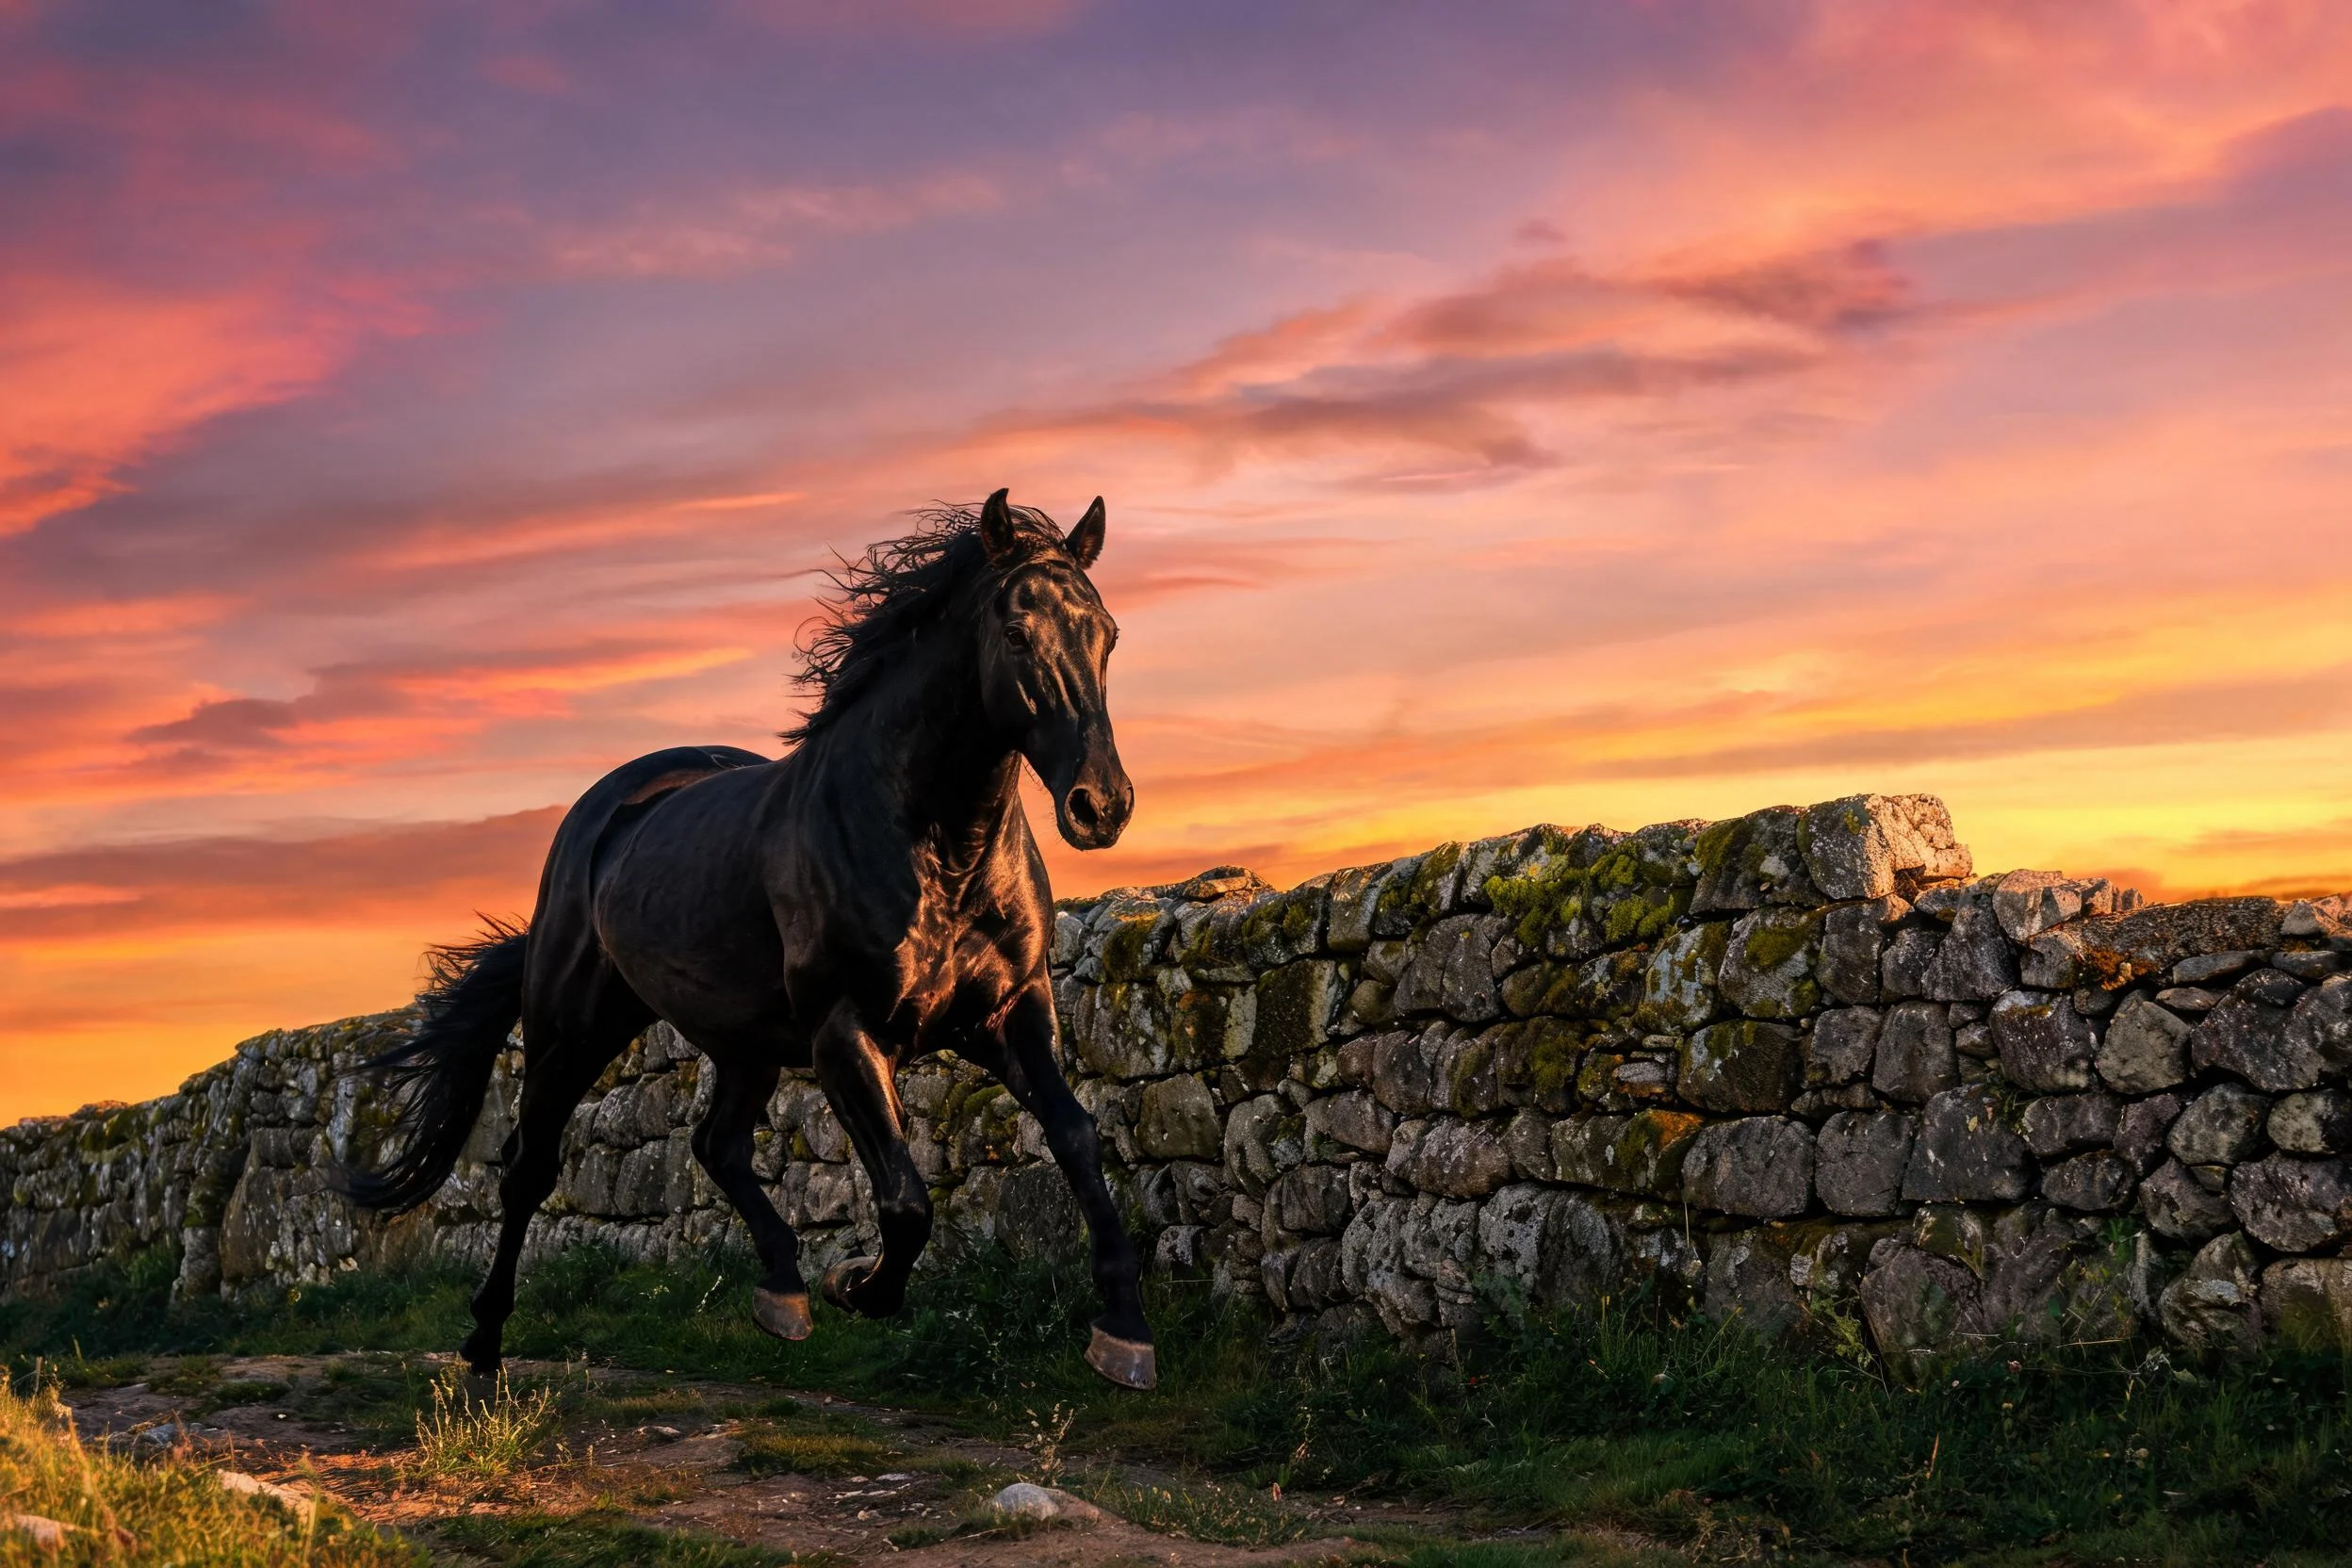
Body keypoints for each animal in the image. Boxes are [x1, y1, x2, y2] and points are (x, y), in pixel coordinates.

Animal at [334, 489, 1156, 1389]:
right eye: (1016, 632)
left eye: (1108, 634)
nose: (1101, 806)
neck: (938, 850)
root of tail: (610, 806)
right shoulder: (845, 1033)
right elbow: (906, 1202)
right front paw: (856, 1286)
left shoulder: (1010, 1014)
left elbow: (1077, 1138)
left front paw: (1125, 1333)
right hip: (571, 1030)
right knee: (530, 1168)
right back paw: (484, 1345)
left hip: (745, 1042)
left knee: (715, 1144)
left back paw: (781, 1294)